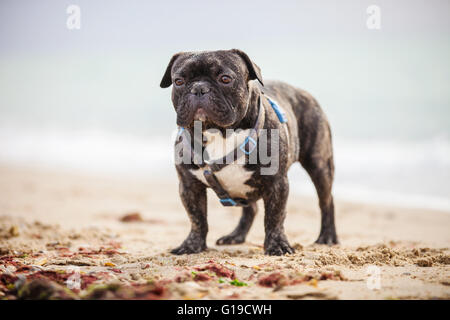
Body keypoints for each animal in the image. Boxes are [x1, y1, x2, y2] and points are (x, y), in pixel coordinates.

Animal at [159, 49, 338, 255]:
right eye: (179, 81)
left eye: (225, 79)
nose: (199, 88)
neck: (219, 132)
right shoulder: (189, 186)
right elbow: (197, 218)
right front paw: (192, 245)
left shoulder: (277, 182)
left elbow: (275, 217)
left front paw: (277, 245)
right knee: (250, 209)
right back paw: (236, 235)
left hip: (319, 164)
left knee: (326, 201)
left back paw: (327, 237)